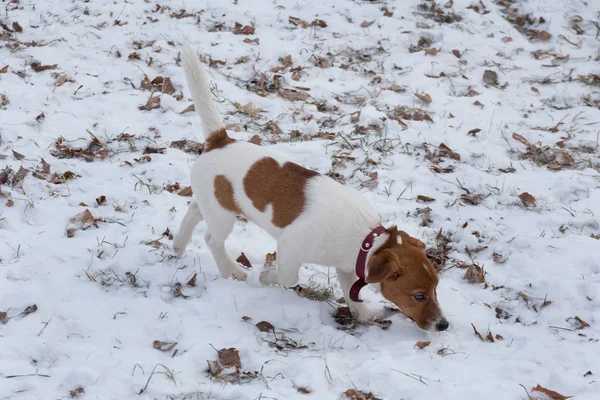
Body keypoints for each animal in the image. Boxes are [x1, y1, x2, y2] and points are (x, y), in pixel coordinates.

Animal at [171, 44, 448, 332]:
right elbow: (288, 276)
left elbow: (351, 292)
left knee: (194, 211)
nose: (443, 325)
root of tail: (220, 140)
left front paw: (363, 313)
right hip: (223, 215)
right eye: (419, 296)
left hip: (215, 202)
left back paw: (179, 244)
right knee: (212, 240)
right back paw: (230, 270)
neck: (365, 241)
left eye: (436, 289)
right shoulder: (290, 246)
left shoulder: (346, 267)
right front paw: (265, 277)